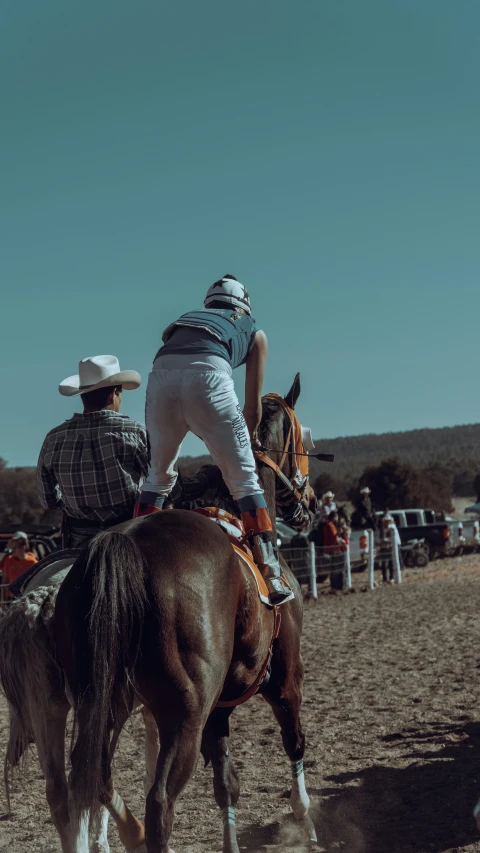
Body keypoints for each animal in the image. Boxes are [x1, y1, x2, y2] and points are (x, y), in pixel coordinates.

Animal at [54, 374, 316, 852]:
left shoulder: (219, 709)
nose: (308, 503)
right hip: (183, 716)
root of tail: (123, 545)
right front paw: (306, 822)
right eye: (303, 436)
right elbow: (294, 742)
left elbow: (226, 784)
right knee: (159, 802)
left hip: (104, 704)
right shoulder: (285, 678)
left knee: (97, 775)